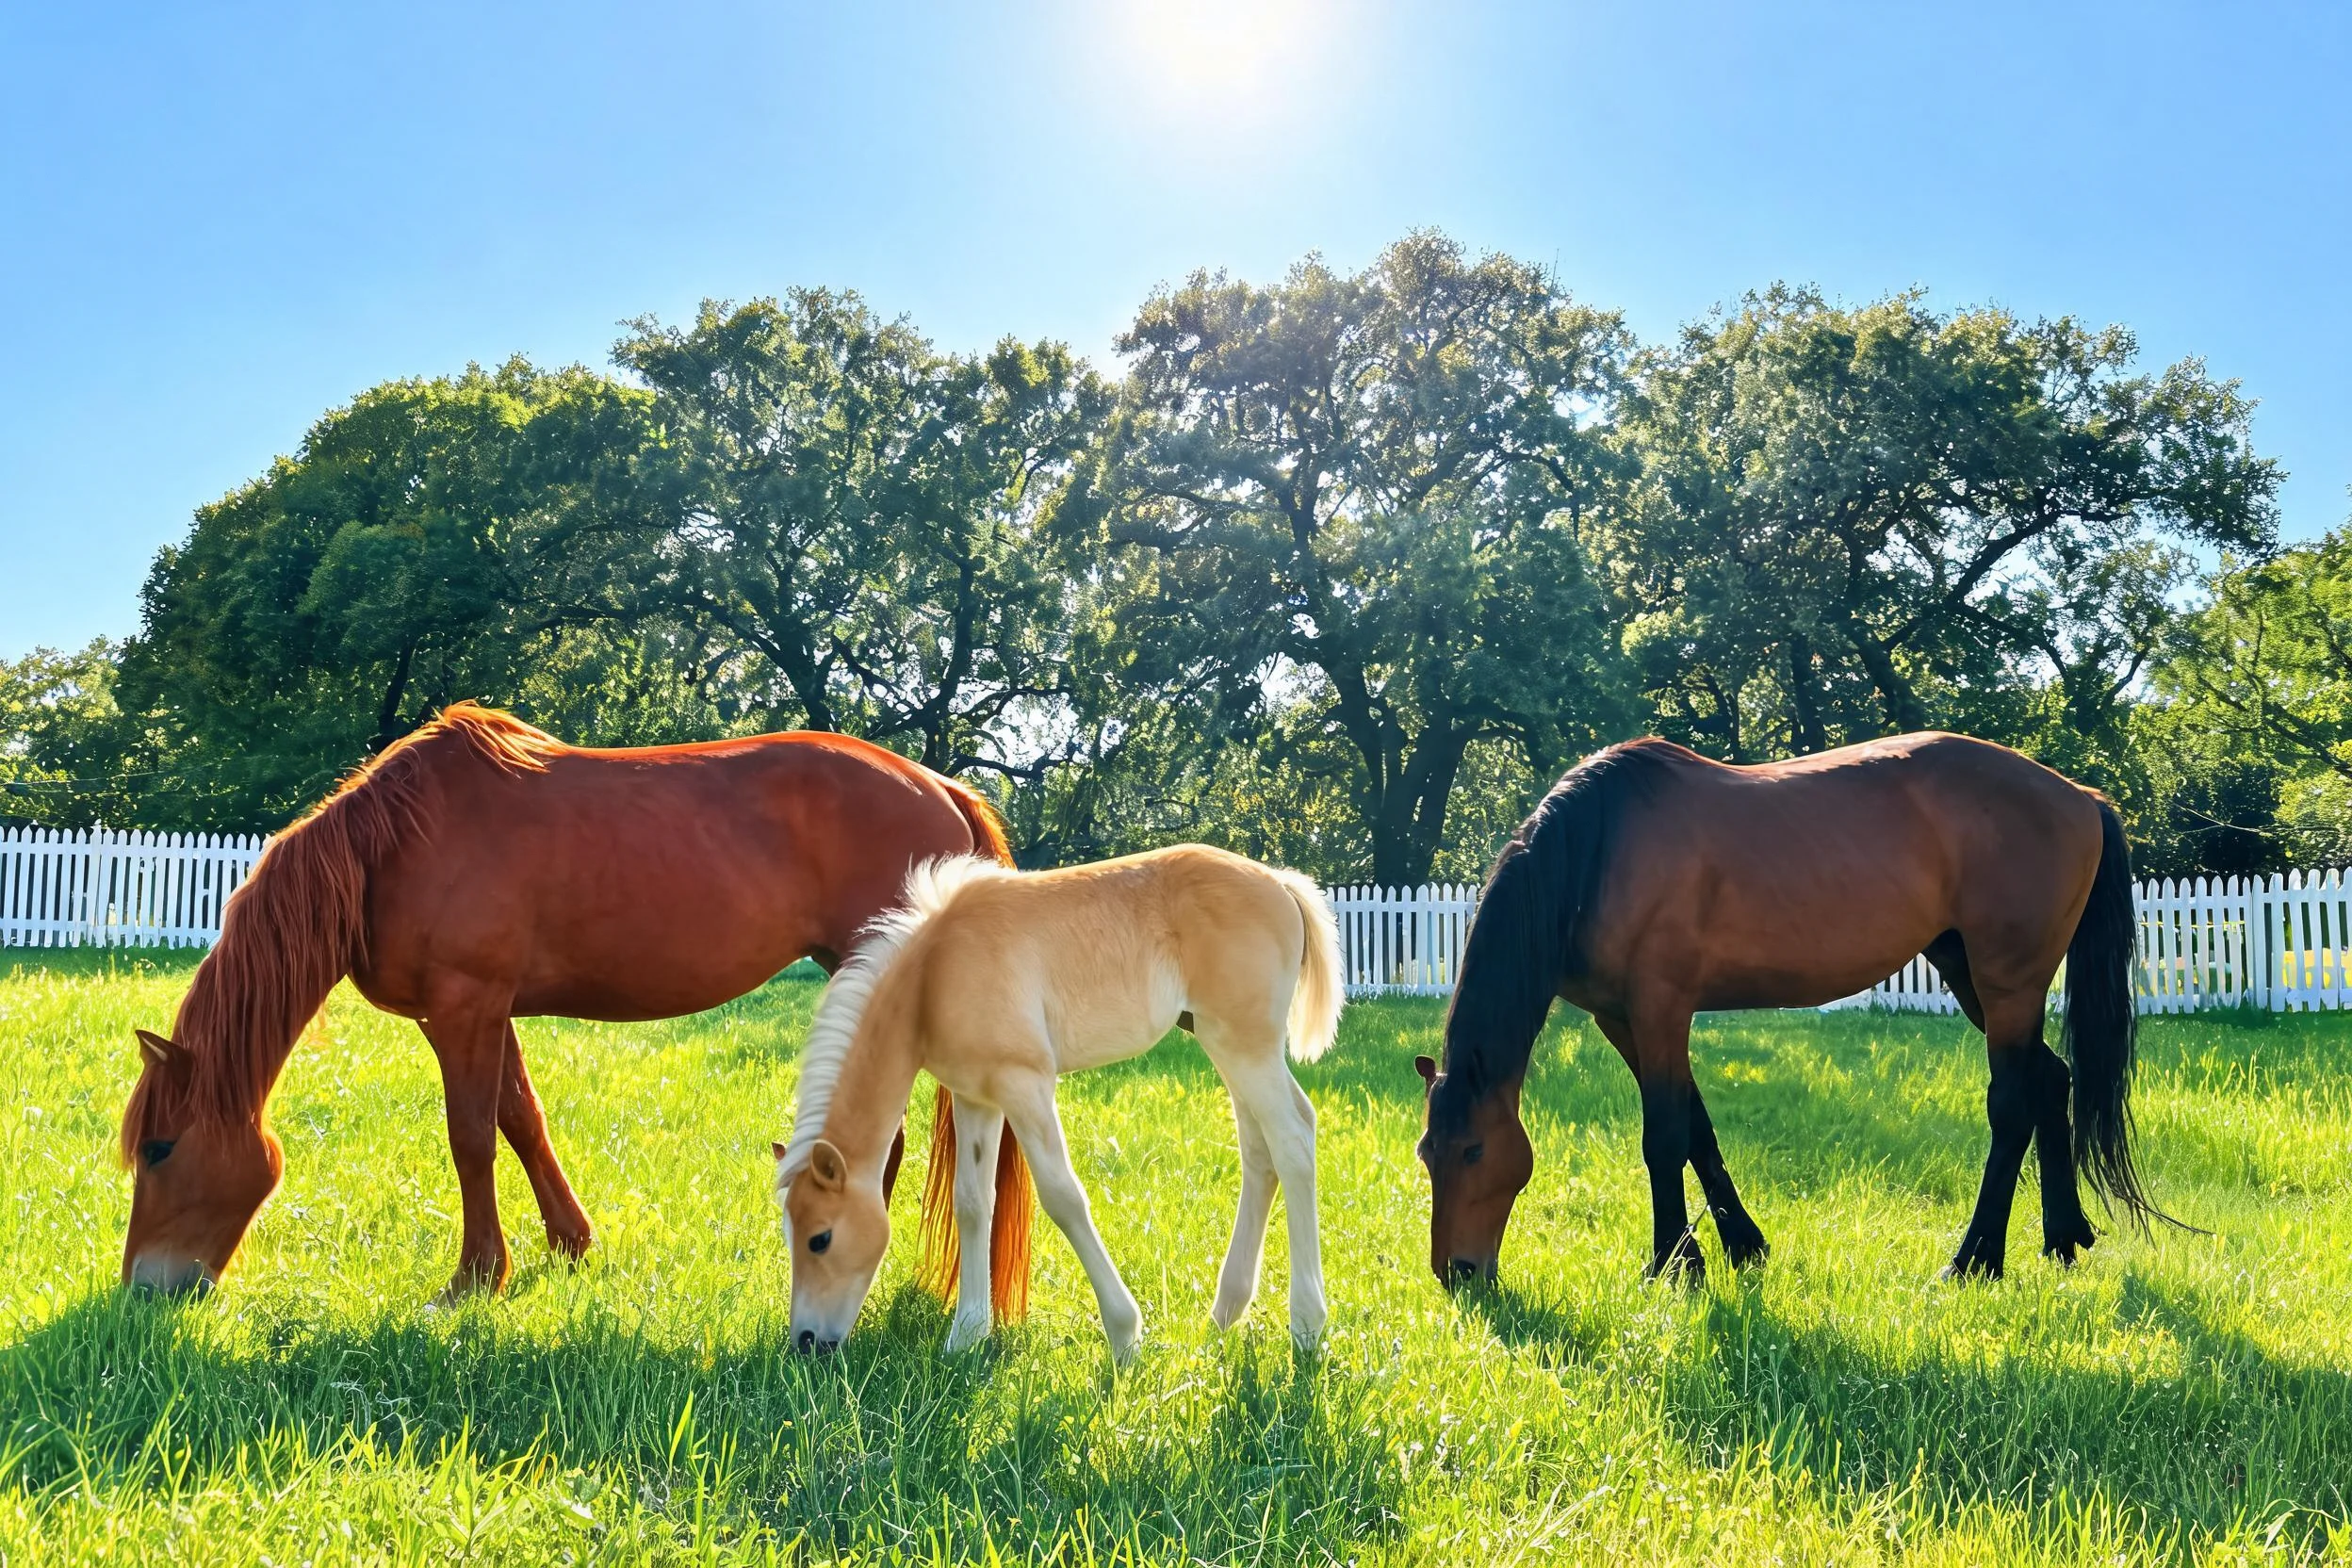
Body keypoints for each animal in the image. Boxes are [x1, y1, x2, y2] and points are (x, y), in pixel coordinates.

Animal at [118, 702, 1034, 1310]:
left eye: (161, 1148)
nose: (143, 1290)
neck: (391, 848)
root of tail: (942, 786)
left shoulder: (463, 1007)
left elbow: (470, 1138)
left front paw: (474, 1279)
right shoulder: (481, 1013)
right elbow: (522, 1122)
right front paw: (570, 1244)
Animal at [774, 844, 1342, 1361]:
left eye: (820, 1238)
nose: (806, 1343)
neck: (933, 975)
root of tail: (1280, 882)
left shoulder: (1025, 1085)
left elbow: (1064, 1198)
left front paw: (1124, 1335)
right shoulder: (975, 1097)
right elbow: (972, 1203)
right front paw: (966, 1337)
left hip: (1245, 1047)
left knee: (1292, 1138)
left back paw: (1307, 1326)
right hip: (1224, 1045)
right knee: (1260, 1151)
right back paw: (1225, 1314)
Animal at [1416, 732, 2163, 1289]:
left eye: (1474, 1149)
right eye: (1427, 1153)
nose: (1458, 1272)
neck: (1597, 853)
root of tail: (2081, 798)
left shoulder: (1662, 1010)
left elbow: (1664, 1137)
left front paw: (1670, 1267)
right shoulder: (1621, 1020)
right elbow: (1698, 1128)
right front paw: (1737, 1247)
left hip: (2009, 984)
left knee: (2011, 1107)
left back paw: (1974, 1259)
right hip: (1970, 975)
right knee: (2051, 1081)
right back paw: (2062, 1238)